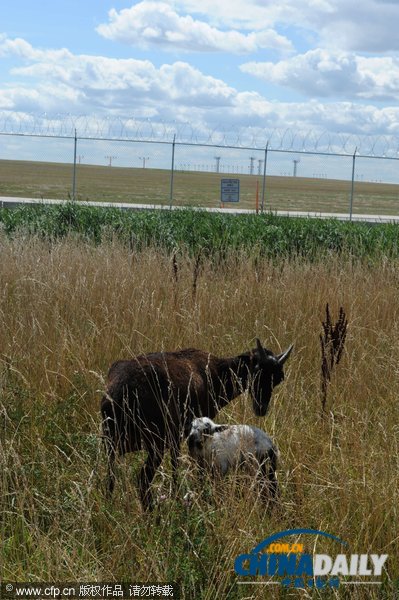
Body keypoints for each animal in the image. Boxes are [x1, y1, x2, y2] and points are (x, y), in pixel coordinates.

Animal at [101, 338, 292, 510]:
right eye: (257, 369)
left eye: (278, 377)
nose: (261, 408)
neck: (215, 372)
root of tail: (116, 395)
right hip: (155, 446)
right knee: (142, 480)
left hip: (112, 446)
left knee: (110, 478)